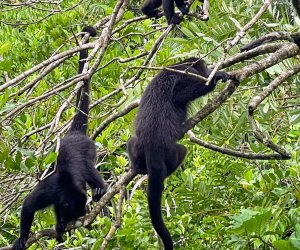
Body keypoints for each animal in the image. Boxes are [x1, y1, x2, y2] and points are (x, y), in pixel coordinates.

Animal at [12, 25, 107, 250]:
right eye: (73, 213)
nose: (77, 219)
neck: (66, 187)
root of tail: (74, 134)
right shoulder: (50, 191)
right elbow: (29, 204)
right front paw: (23, 237)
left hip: (90, 149)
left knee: (92, 172)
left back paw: (101, 192)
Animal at [127, 57, 234, 249]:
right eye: (205, 68)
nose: (209, 71)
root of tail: (153, 146)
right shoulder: (186, 74)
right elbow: (181, 94)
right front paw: (215, 78)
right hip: (171, 151)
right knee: (182, 151)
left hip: (137, 146)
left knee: (131, 141)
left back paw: (138, 168)